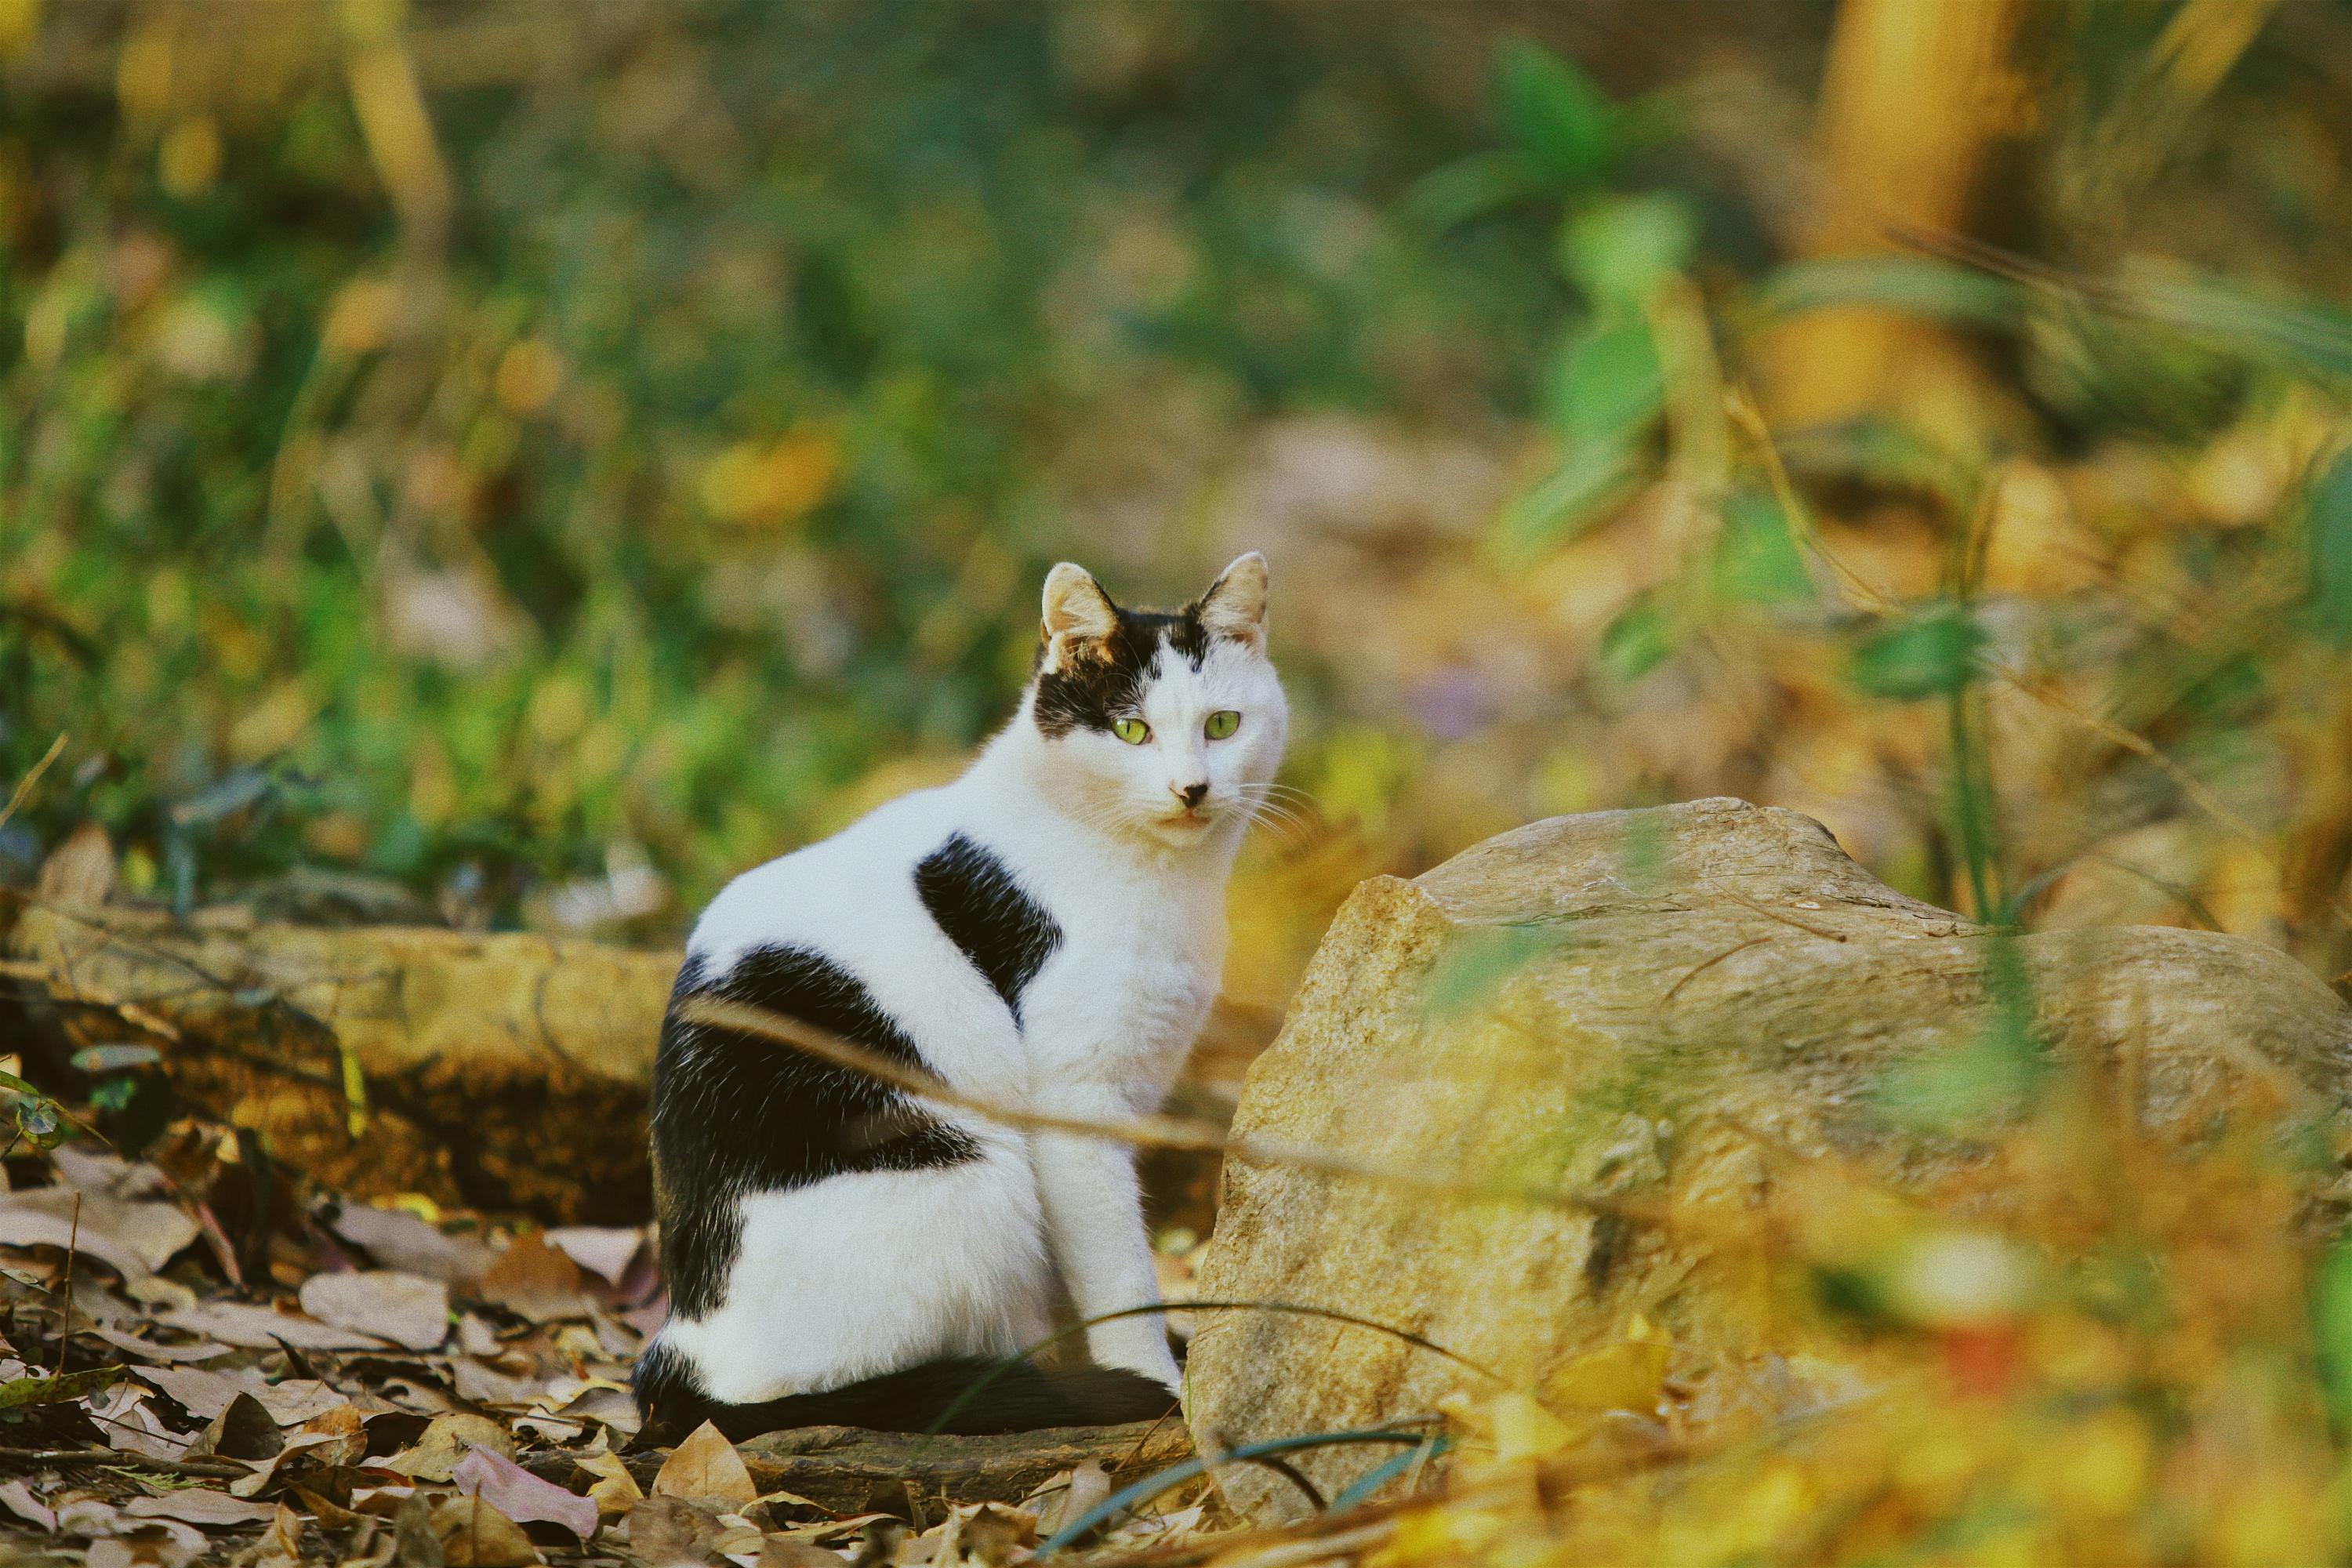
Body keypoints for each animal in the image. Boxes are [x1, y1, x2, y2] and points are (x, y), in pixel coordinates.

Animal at [635, 557, 1289, 1439]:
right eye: (1131, 732)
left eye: (1223, 724)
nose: (1193, 789)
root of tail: (688, 1346)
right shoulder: (1074, 1104)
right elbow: (1119, 1275)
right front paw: (1153, 1379)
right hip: (974, 1178)